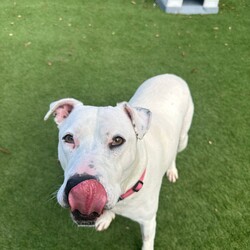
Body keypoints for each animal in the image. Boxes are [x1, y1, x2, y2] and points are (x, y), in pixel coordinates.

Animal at [44, 73, 193, 249]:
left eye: (117, 140)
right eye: (68, 138)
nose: (81, 186)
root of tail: (170, 75)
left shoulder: (148, 221)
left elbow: (147, 240)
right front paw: (107, 217)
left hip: (183, 138)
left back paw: (171, 170)